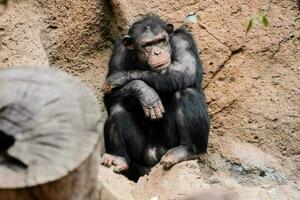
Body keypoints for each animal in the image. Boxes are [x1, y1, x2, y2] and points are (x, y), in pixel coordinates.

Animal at [101, 14, 211, 177]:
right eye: (147, 45)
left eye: (160, 41)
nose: (157, 52)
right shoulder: (118, 52)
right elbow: (109, 98)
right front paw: (143, 91)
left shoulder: (183, 40)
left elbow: (185, 69)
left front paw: (119, 78)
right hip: (142, 159)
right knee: (118, 106)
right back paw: (118, 158)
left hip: (168, 147)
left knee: (185, 91)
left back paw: (188, 150)